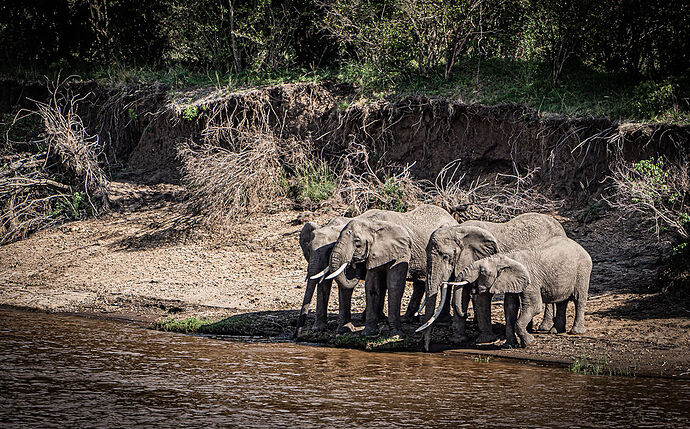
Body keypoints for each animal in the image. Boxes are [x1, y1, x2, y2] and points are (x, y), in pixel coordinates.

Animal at [326, 204, 456, 338]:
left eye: (357, 242)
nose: (354, 262)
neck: (373, 223)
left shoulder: (402, 250)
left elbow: (394, 285)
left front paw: (396, 335)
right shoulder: (376, 252)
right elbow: (372, 286)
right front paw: (369, 333)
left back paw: (442, 321)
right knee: (419, 282)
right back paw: (409, 319)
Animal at [414, 212, 564, 350]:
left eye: (446, 256)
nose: (426, 349)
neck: (458, 229)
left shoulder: (483, 260)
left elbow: (481, 296)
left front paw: (485, 340)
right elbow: (462, 293)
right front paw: (458, 340)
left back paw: (544, 328)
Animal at [452, 236, 592, 346]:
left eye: (482, 272)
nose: (467, 314)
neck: (507, 257)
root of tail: (581, 247)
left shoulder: (531, 281)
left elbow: (534, 307)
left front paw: (529, 342)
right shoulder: (512, 281)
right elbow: (510, 307)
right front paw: (509, 345)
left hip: (583, 270)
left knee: (579, 299)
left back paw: (575, 332)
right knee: (561, 301)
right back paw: (555, 331)